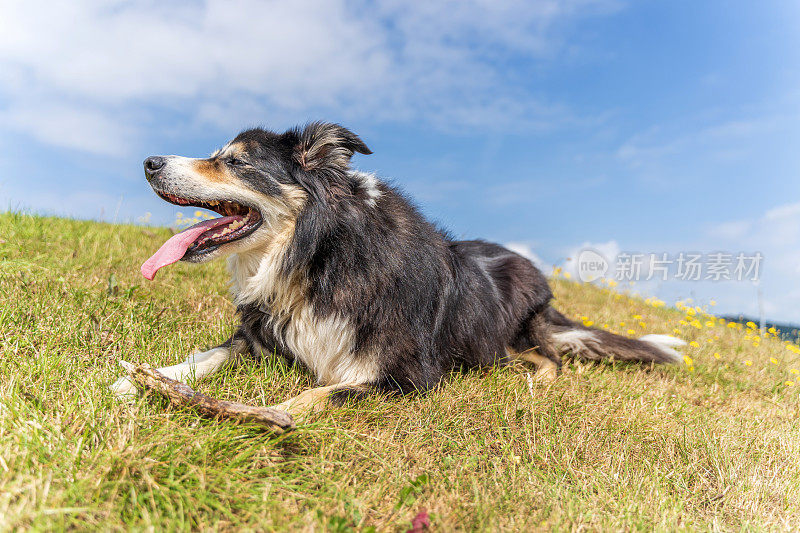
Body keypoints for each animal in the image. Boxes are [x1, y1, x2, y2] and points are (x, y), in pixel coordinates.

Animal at [111, 122, 688, 418]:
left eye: (234, 162)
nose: (149, 162)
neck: (320, 258)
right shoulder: (262, 333)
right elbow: (208, 354)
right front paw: (140, 381)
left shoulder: (410, 374)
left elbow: (324, 392)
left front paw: (269, 411)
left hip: (514, 336)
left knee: (550, 360)